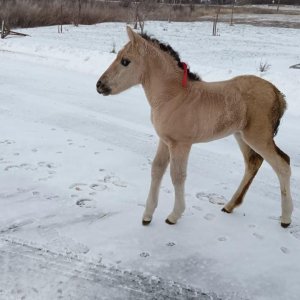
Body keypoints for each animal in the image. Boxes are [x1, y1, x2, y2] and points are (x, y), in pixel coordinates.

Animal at [96, 27, 292, 227]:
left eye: (125, 61)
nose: (99, 85)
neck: (173, 96)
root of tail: (277, 93)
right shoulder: (165, 141)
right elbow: (157, 169)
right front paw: (147, 215)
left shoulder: (181, 144)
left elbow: (177, 176)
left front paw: (174, 215)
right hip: (240, 135)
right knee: (253, 162)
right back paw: (229, 206)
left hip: (258, 137)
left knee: (283, 165)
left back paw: (285, 218)